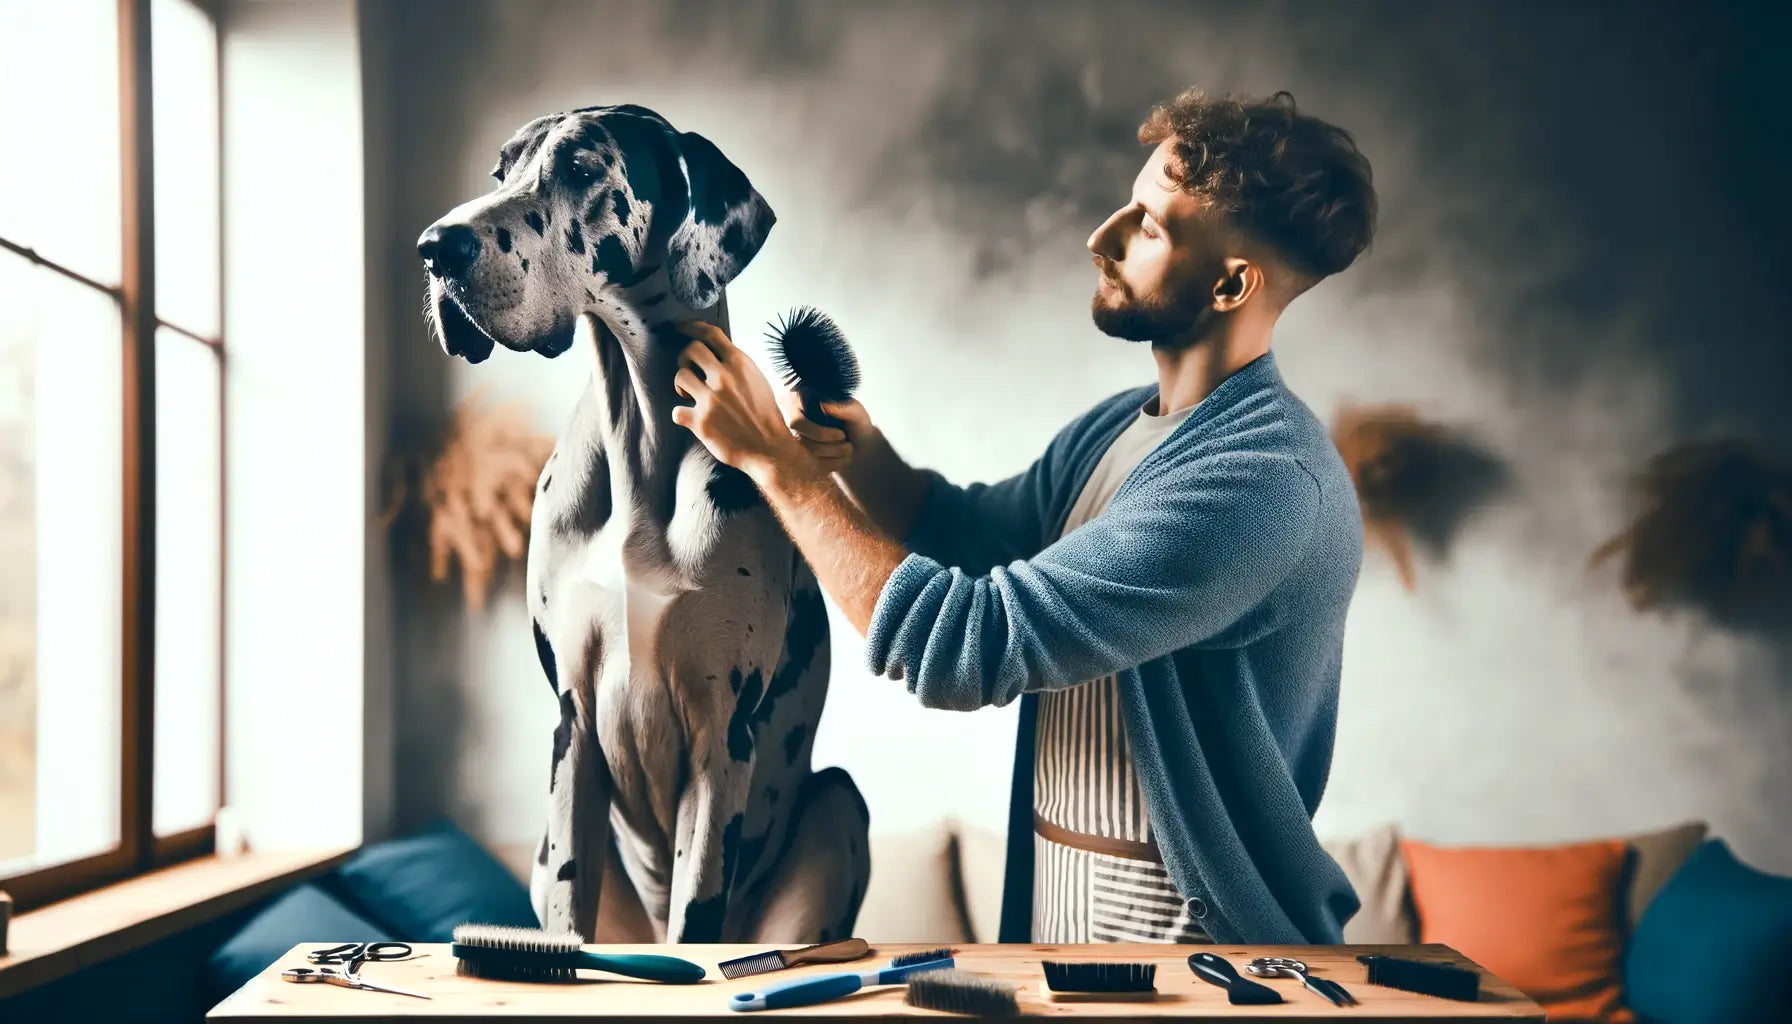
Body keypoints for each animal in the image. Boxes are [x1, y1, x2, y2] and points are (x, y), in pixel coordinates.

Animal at [415, 104, 870, 946]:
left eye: (584, 170)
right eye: (501, 171)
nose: (435, 247)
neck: (638, 446)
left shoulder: (723, 739)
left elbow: (698, 915)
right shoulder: (573, 728)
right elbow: (572, 905)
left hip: (838, 806)